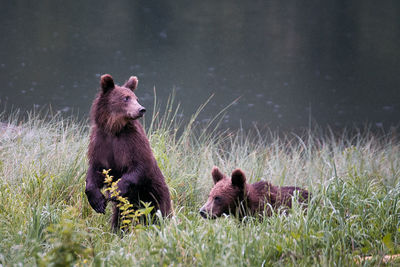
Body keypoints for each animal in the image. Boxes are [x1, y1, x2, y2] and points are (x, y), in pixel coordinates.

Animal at [85, 74, 171, 229]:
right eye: (126, 98)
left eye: (135, 98)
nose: (141, 109)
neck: (114, 129)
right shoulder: (100, 142)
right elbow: (96, 170)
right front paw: (98, 201)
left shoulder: (131, 142)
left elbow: (140, 166)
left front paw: (115, 191)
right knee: (120, 219)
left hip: (155, 198)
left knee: (158, 216)